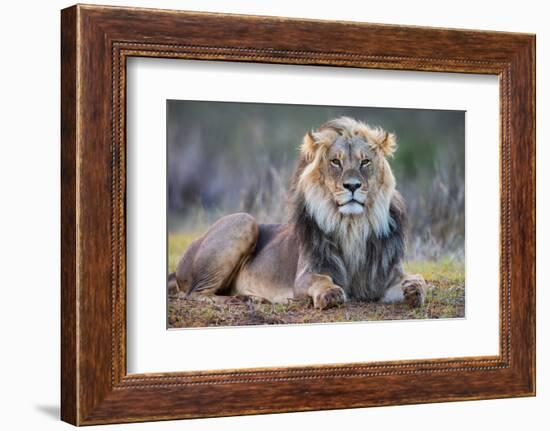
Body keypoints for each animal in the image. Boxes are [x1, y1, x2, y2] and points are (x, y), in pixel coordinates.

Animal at [168, 116, 426, 308]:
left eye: (365, 162)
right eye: (336, 162)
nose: (352, 185)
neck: (353, 226)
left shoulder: (385, 277)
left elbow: (417, 279)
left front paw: (414, 289)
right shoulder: (305, 275)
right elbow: (320, 279)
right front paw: (331, 293)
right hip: (244, 220)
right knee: (194, 294)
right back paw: (243, 299)